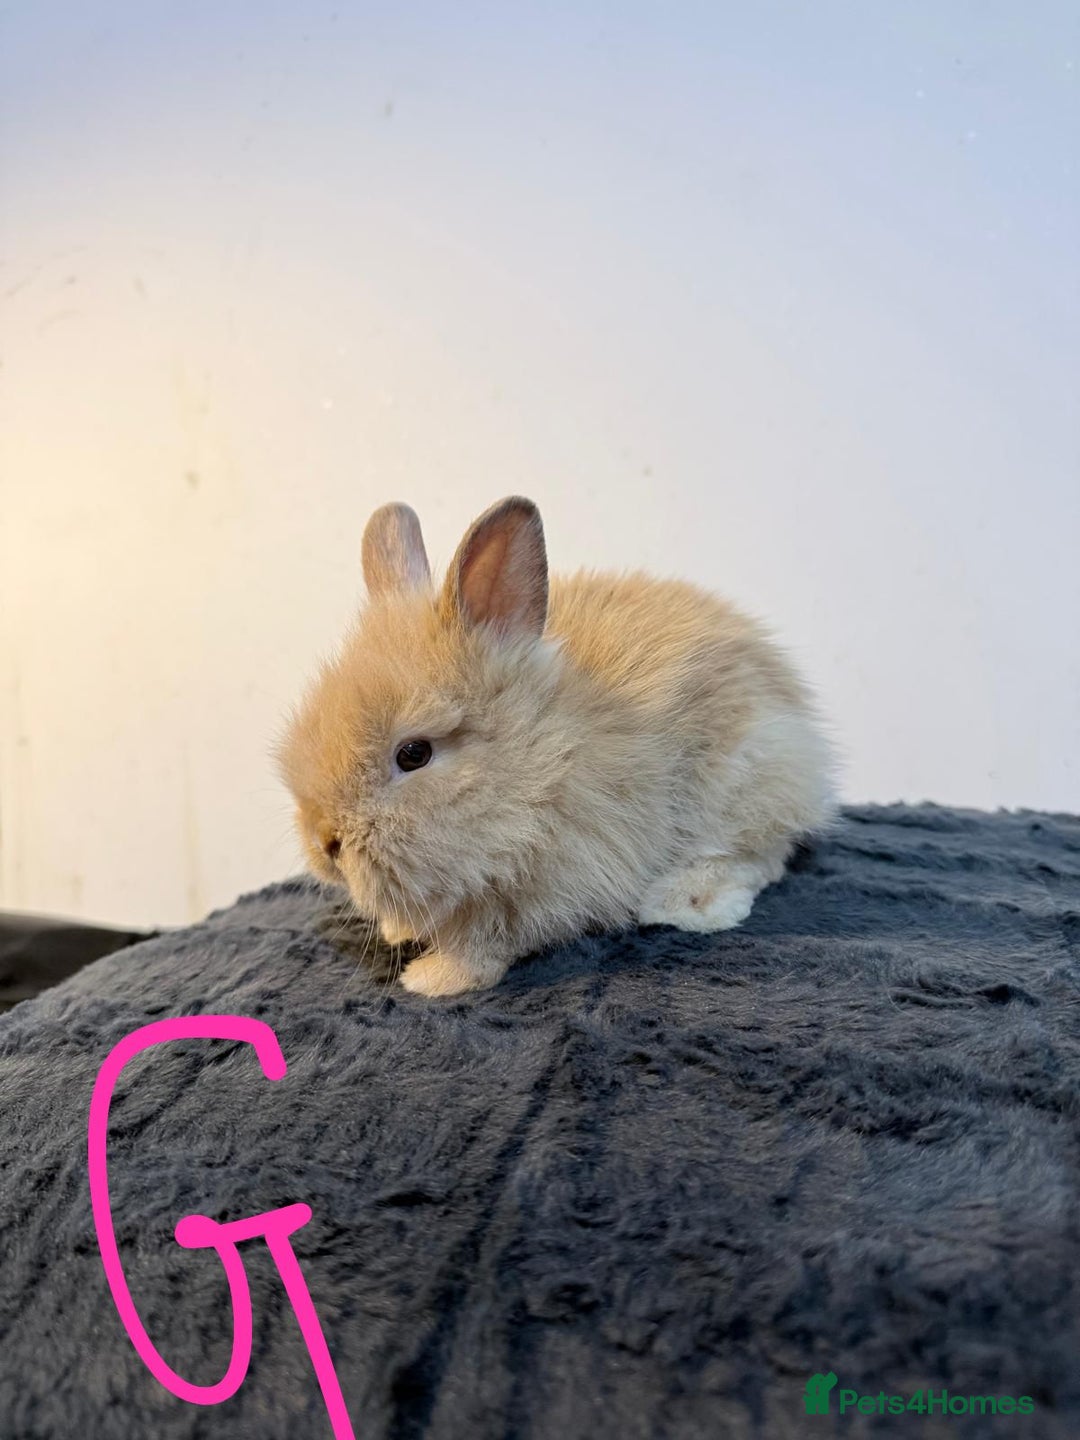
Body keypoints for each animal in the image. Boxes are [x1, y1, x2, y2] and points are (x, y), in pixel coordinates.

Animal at [277, 496, 835, 997]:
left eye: (414, 754)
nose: (326, 842)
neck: (542, 760)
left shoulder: (546, 886)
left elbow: (487, 940)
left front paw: (434, 978)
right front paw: (401, 931)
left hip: (746, 780)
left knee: (761, 856)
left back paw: (684, 903)